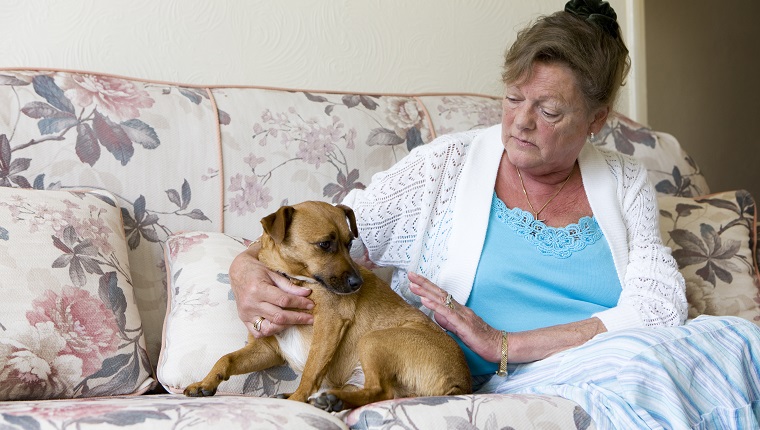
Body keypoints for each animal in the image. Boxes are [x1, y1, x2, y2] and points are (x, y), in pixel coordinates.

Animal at [184, 201, 470, 410]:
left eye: (350, 243)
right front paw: (205, 382)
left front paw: (297, 400)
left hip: (373, 340)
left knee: (380, 390)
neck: (295, 278)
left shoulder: (329, 325)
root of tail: (462, 384)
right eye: (324, 244)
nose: (357, 283)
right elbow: (227, 358)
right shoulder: (268, 348)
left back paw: (333, 400)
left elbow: (311, 370)